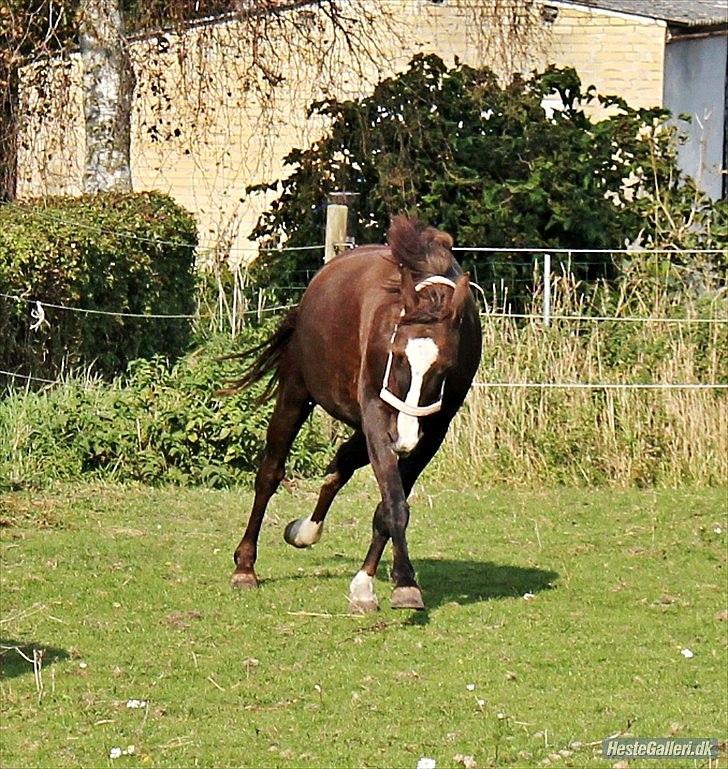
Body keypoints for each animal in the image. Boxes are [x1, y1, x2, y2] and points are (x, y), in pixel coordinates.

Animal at [225, 213, 480, 608]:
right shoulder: (377, 415)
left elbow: (388, 506)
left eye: (445, 367)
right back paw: (245, 566)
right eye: (399, 355)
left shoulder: (432, 432)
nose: (404, 439)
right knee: (270, 473)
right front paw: (404, 584)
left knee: (339, 465)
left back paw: (304, 531)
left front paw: (370, 583)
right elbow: (394, 503)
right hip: (296, 394)